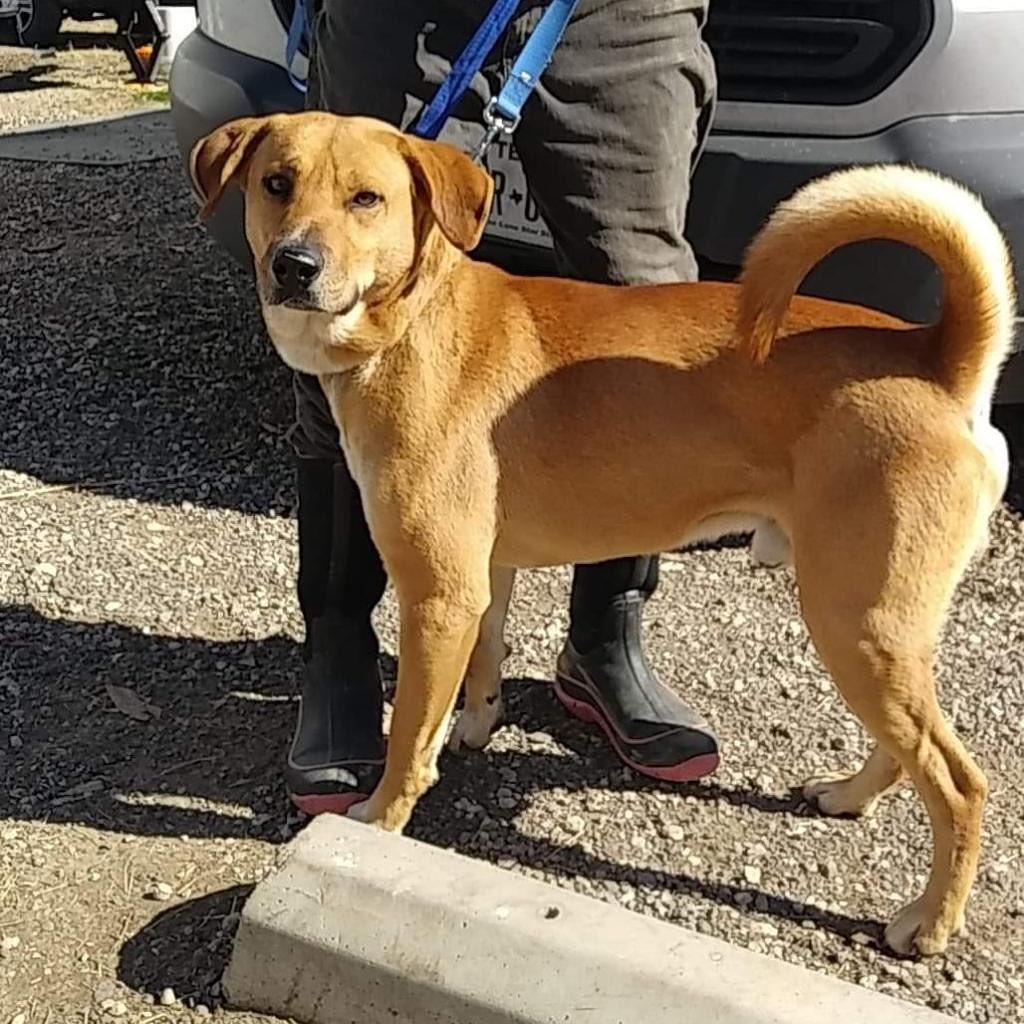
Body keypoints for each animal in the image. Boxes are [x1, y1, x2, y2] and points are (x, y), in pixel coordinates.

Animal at [192, 114, 1015, 958]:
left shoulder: (438, 596)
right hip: (881, 628)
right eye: (277, 183)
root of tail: (938, 360)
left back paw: (930, 921)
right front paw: (478, 723)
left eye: (366, 199)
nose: (293, 265)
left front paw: (380, 822)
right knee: (910, 746)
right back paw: (849, 795)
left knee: (959, 781)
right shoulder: (484, 578)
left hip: (854, 621)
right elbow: (485, 660)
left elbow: (409, 736)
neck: (415, 320)